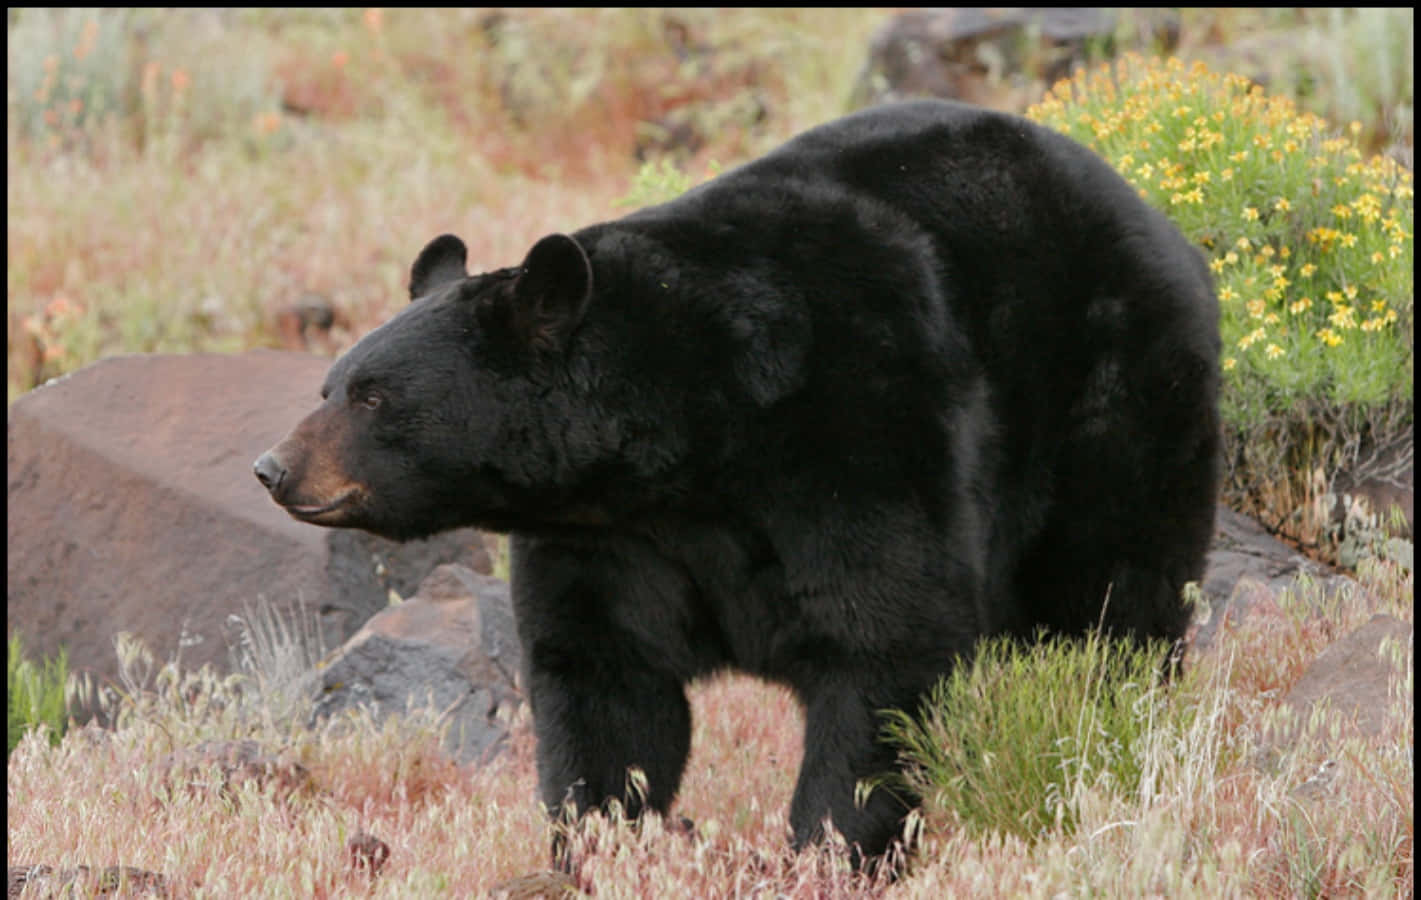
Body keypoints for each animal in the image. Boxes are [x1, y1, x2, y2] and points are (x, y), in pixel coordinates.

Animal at [254, 98, 1221, 869]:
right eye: (329, 385)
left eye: (374, 396)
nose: (274, 468)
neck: (688, 429)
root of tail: (1157, 218)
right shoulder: (608, 537)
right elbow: (604, 680)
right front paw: (594, 841)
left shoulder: (859, 436)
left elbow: (884, 643)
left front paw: (833, 848)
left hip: (1113, 402)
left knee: (1113, 603)